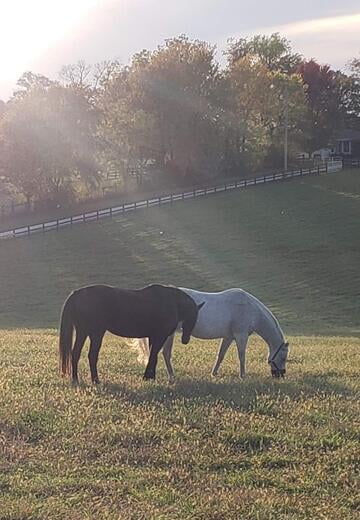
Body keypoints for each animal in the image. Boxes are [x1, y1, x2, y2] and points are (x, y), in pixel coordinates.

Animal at [59, 282, 205, 384]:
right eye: (194, 316)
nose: (185, 339)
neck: (171, 302)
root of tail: (77, 293)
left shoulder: (153, 336)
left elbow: (152, 356)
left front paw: (151, 377)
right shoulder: (160, 336)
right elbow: (153, 355)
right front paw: (147, 377)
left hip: (83, 332)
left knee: (75, 353)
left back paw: (76, 379)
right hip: (96, 334)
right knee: (92, 355)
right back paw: (95, 380)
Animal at [132, 286, 290, 380]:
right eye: (283, 357)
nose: (280, 375)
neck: (250, 309)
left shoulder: (228, 337)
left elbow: (220, 355)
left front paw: (214, 374)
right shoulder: (241, 335)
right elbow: (242, 356)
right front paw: (242, 376)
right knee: (165, 353)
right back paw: (171, 376)